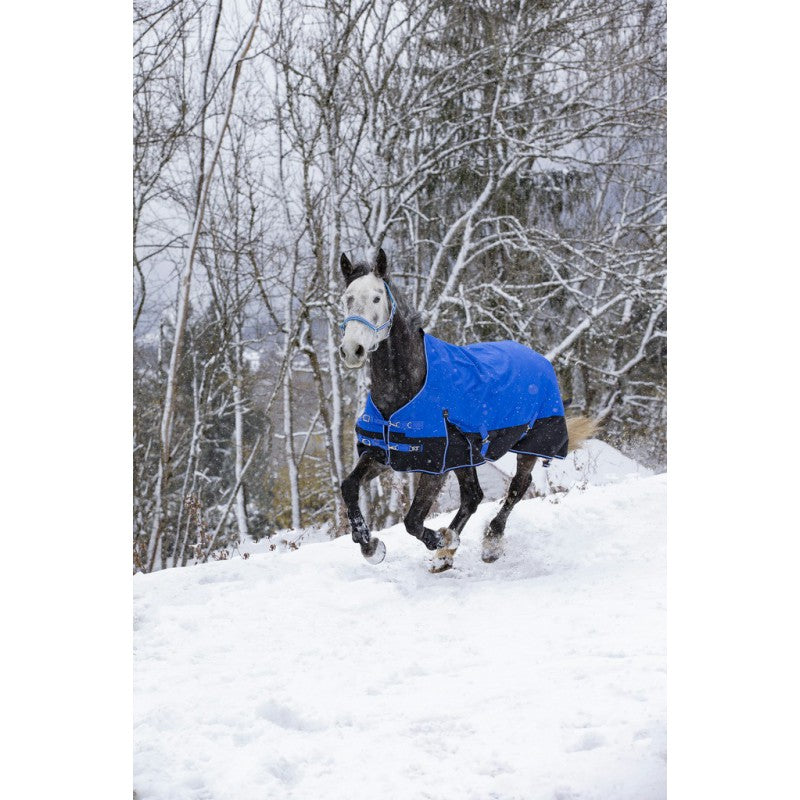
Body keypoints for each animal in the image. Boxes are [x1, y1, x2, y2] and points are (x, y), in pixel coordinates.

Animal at [338, 248, 597, 572]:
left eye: (376, 298)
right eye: (347, 297)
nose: (352, 350)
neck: (406, 389)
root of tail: (540, 358)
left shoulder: (435, 464)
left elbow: (412, 520)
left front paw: (441, 541)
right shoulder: (387, 453)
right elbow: (348, 486)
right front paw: (370, 545)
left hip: (529, 445)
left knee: (518, 486)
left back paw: (488, 543)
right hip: (467, 456)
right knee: (474, 496)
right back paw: (446, 557)